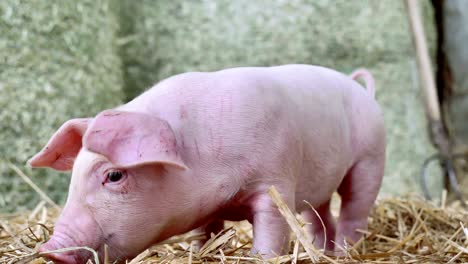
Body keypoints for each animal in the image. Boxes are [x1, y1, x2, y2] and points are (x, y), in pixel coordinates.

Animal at [30, 65, 388, 262]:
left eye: (114, 175)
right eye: (73, 176)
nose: (50, 250)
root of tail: (364, 93)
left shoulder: (275, 182)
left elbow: (271, 227)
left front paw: (260, 257)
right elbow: (207, 232)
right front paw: (202, 249)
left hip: (371, 158)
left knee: (354, 209)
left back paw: (344, 253)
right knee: (320, 215)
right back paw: (320, 250)